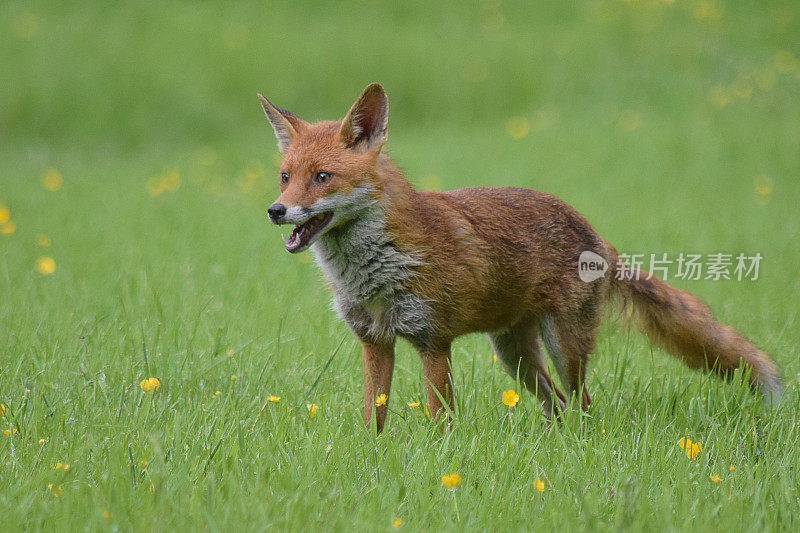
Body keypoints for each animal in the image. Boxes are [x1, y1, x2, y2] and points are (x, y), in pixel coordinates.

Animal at [260, 82, 780, 432]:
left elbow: (440, 419)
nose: (275, 211)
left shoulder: (433, 341)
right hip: (516, 356)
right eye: (285, 176)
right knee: (557, 404)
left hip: (562, 346)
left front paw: (439, 461)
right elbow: (375, 418)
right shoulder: (374, 342)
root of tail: (595, 234)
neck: (374, 271)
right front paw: (377, 458)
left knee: (582, 402)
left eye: (322, 177)